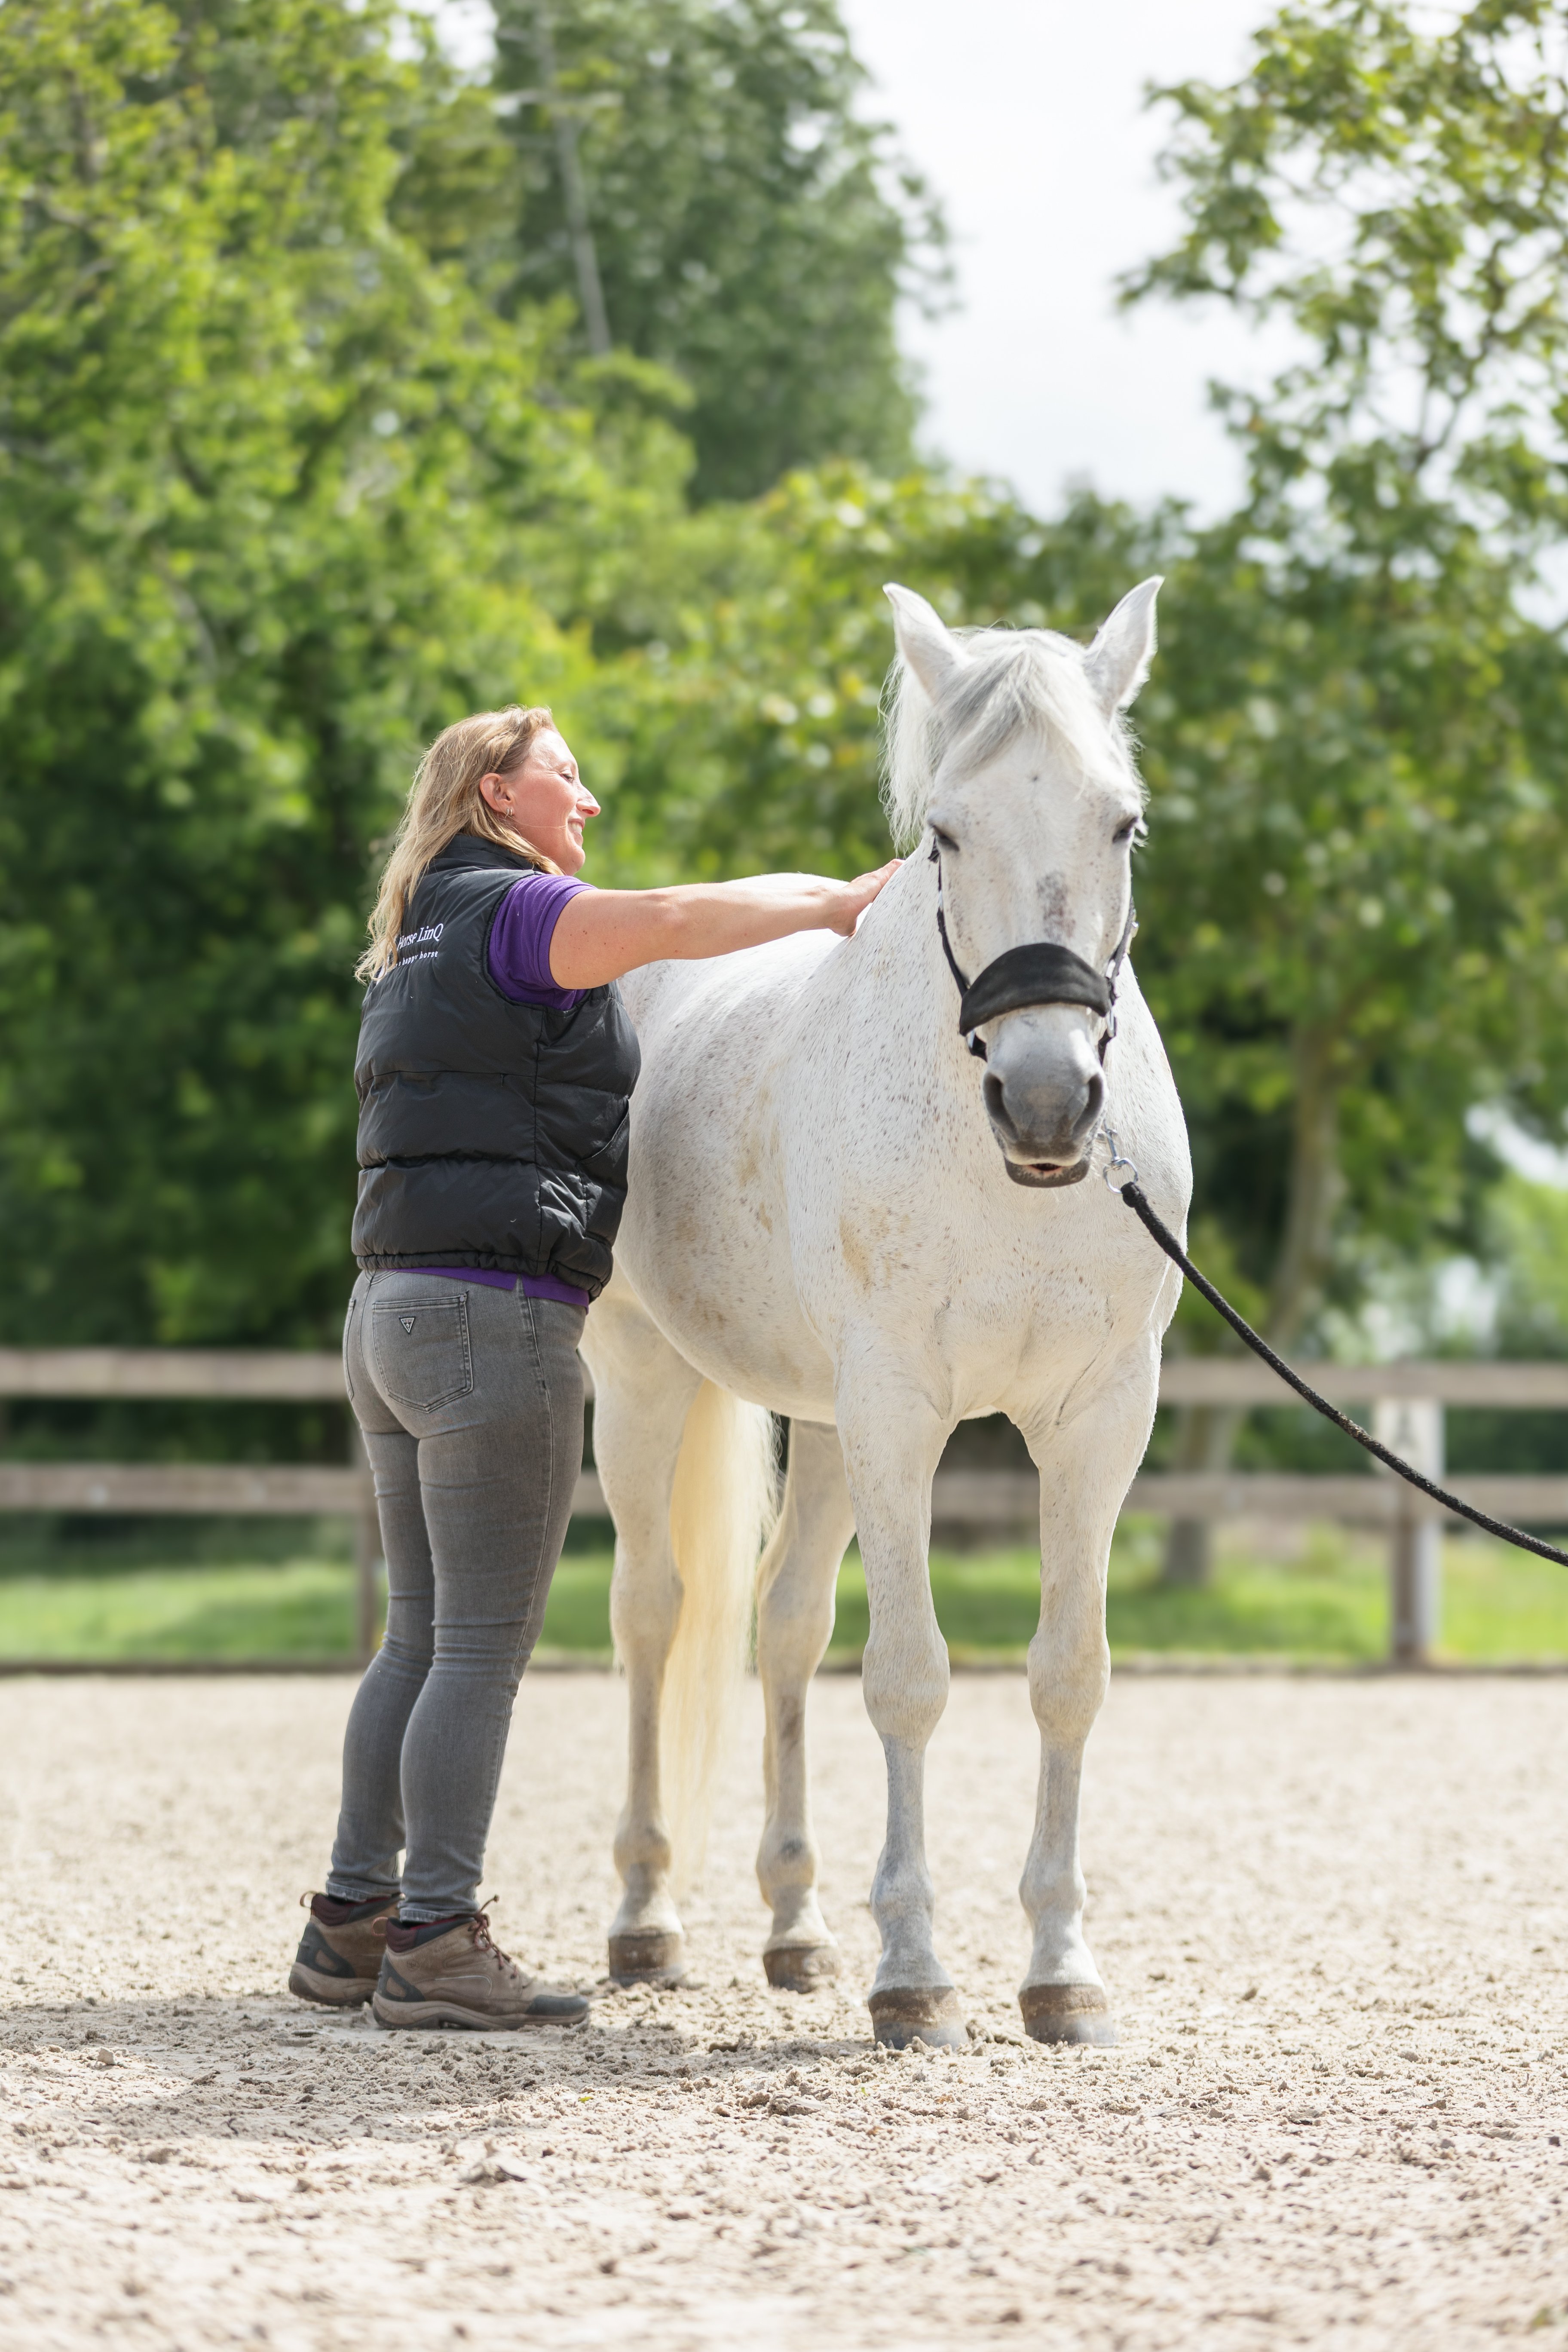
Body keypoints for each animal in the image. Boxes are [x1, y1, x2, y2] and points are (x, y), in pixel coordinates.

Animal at [579, 579, 1191, 2047]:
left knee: (784, 1624)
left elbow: (1068, 1672)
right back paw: (647, 1917)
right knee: (652, 1612)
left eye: (1124, 824)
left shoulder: (1101, 1419)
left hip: (823, 1427)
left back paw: (797, 1928)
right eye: (946, 832)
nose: (1047, 1102)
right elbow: (910, 1675)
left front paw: (1061, 1969)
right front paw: (914, 1973)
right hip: (645, 1381)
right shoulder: (903, 1412)